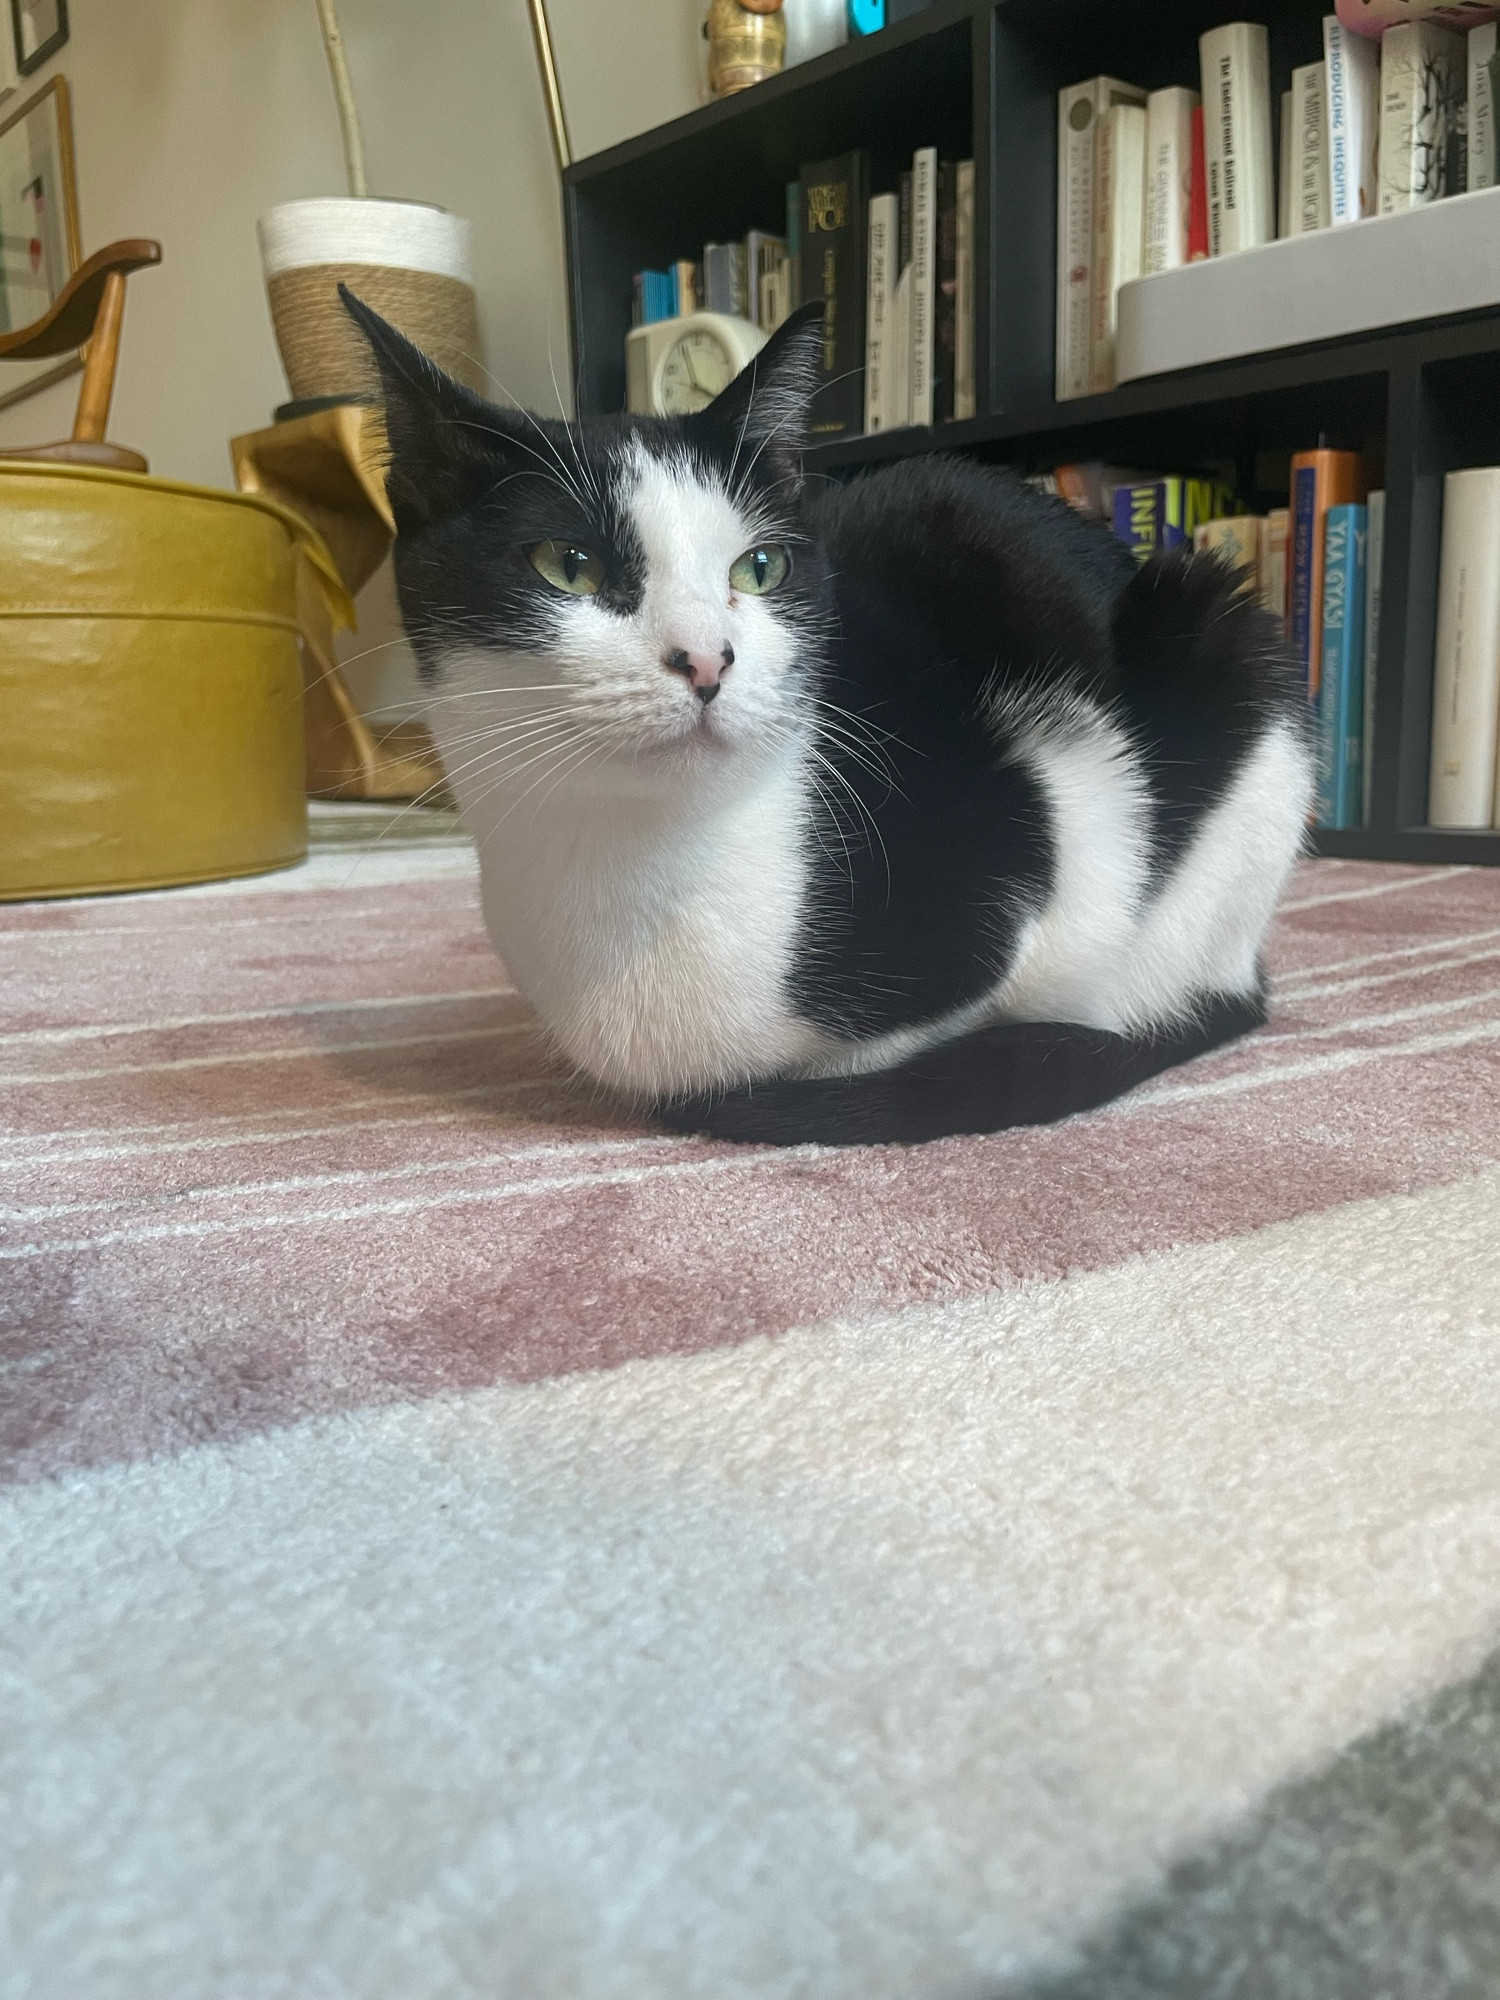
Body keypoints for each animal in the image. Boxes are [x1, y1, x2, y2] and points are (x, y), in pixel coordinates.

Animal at [344, 290, 1312, 1152]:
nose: (707, 660)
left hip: (1231, 641)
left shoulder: (1029, 874)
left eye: (761, 567)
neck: (627, 865)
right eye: (568, 565)